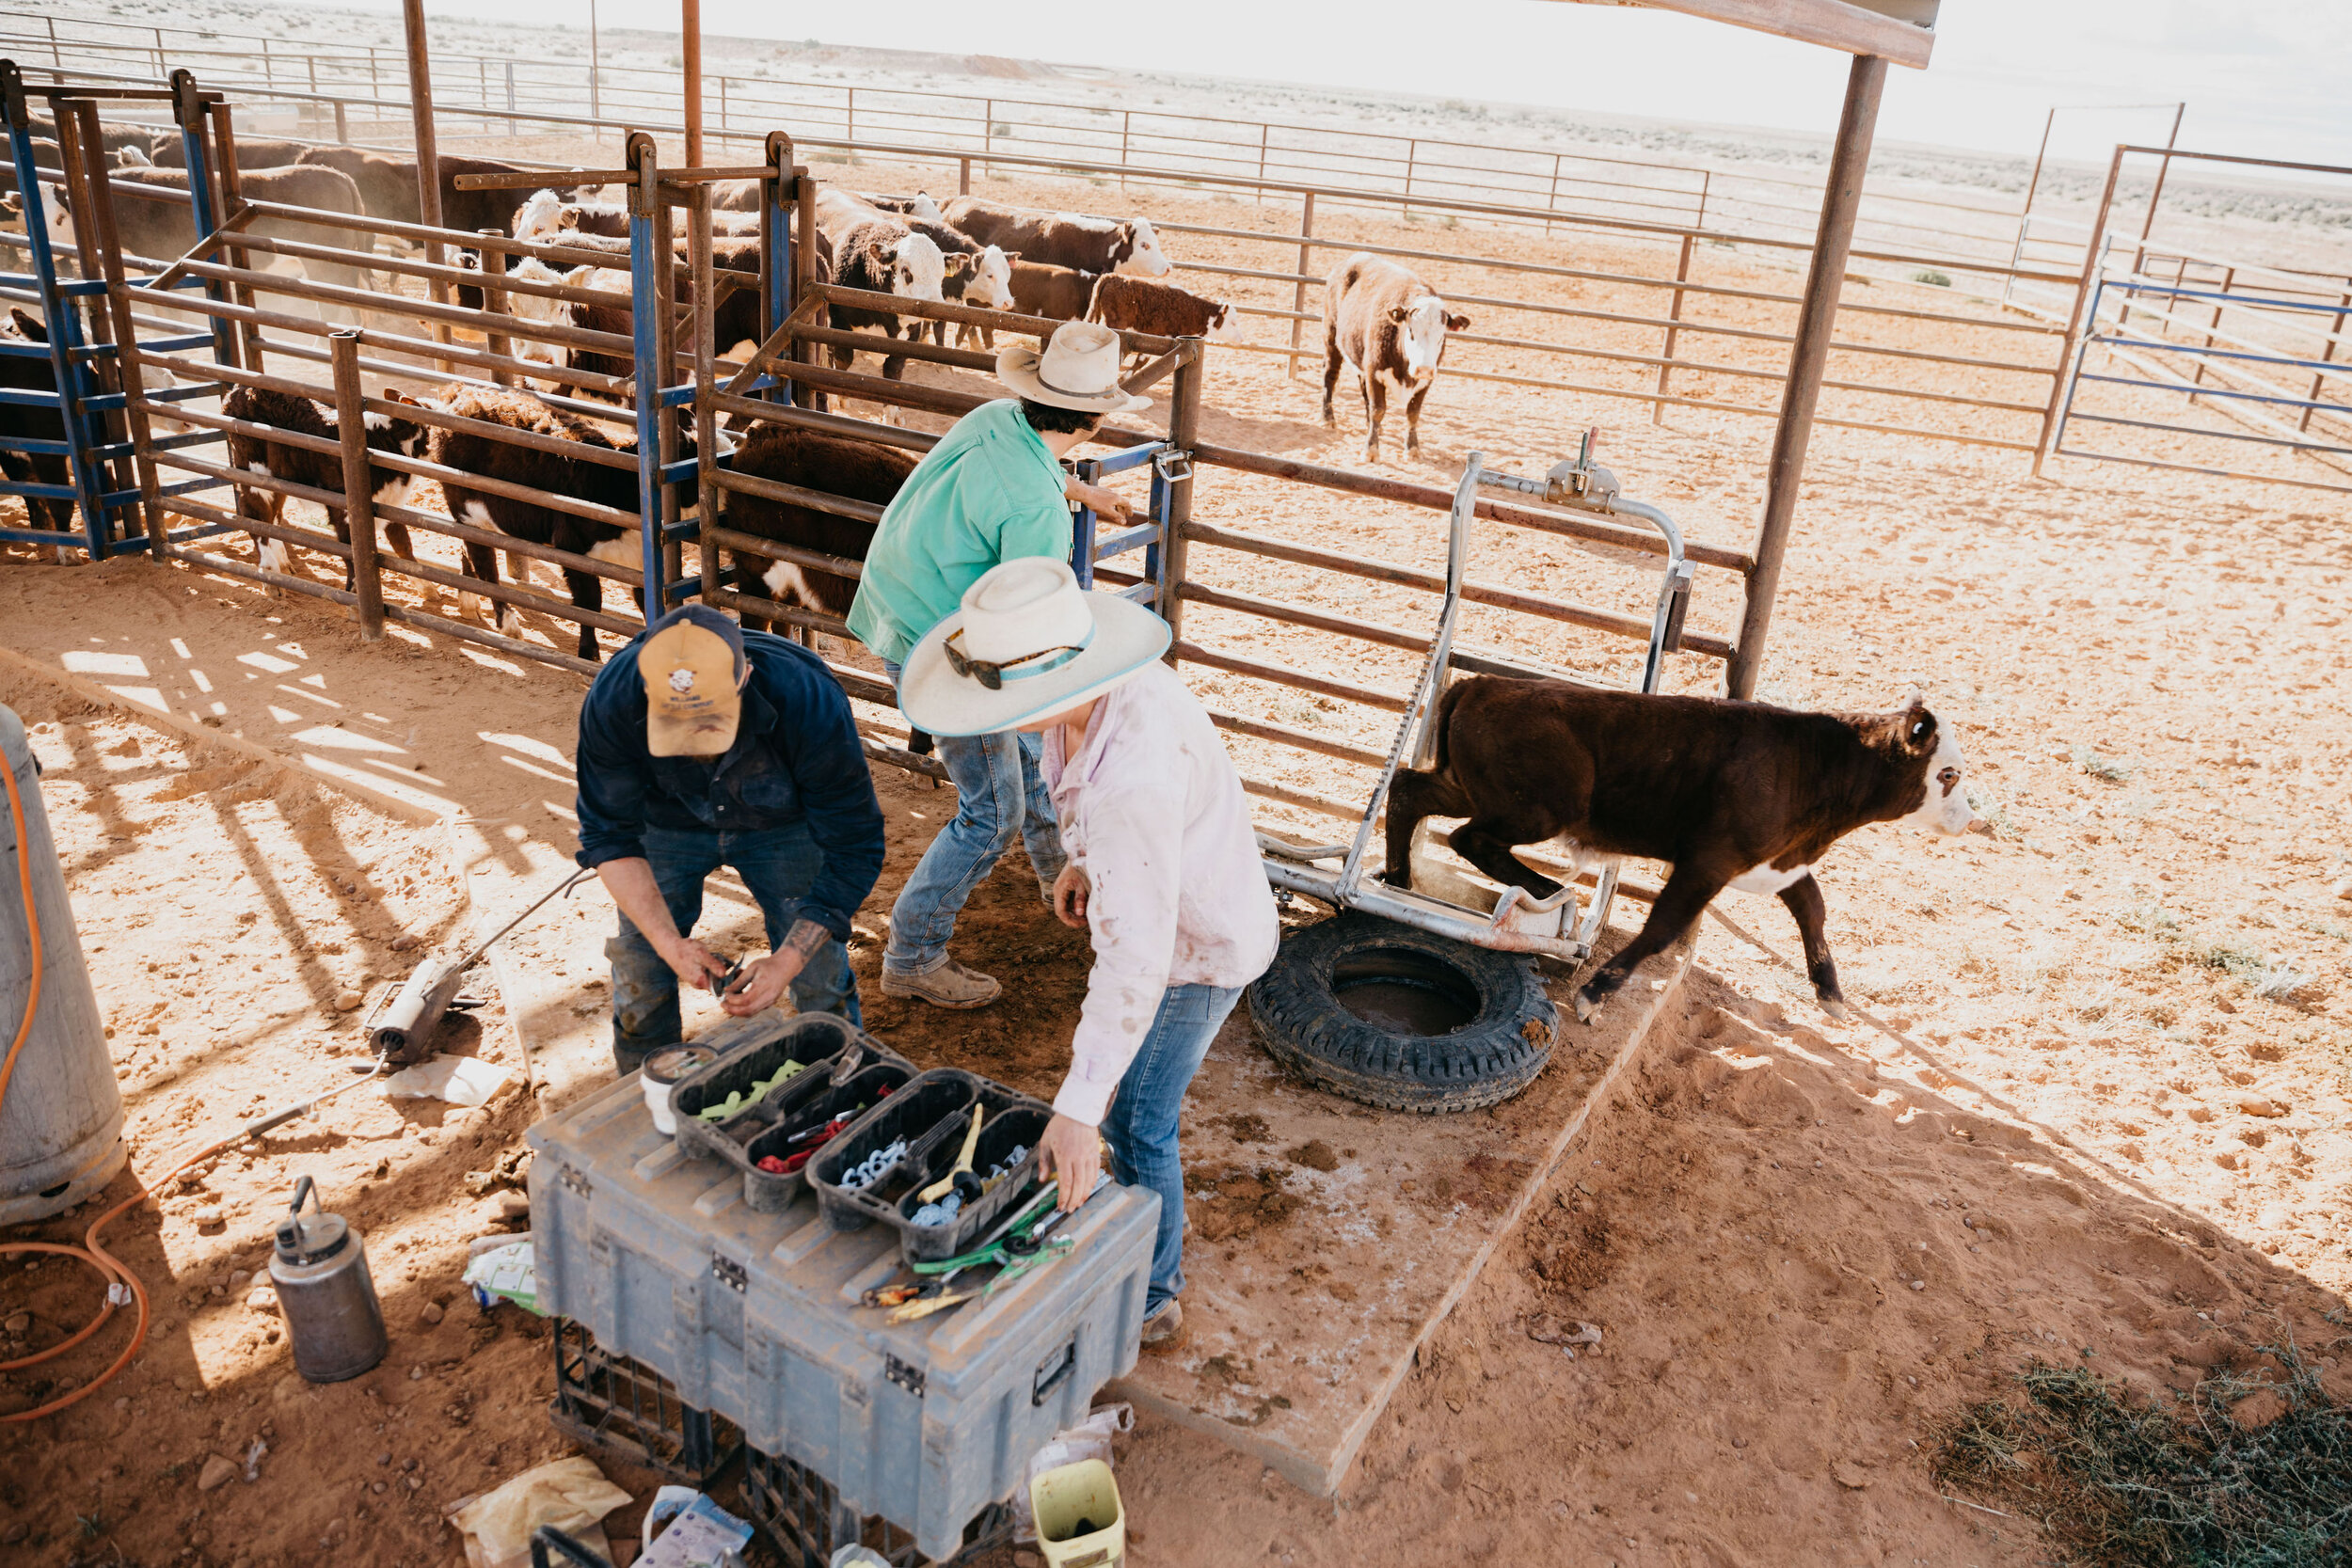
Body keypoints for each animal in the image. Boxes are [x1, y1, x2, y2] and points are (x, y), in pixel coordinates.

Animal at [1327, 255, 1468, 463]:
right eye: (1411, 331)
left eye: (1442, 336)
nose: (1424, 369)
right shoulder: (1374, 371)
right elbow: (1378, 409)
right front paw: (1371, 450)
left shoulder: (1425, 383)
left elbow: (1413, 413)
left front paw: (1413, 448)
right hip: (1331, 334)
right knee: (1330, 375)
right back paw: (1328, 418)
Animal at [1383, 681, 1976, 1024]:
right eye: (1947, 773)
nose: (1970, 820)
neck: (1811, 765)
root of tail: (1484, 683)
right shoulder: (1707, 864)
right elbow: (1663, 928)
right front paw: (1594, 994)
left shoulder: (1777, 863)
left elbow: (1813, 908)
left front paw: (1830, 992)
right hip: (1537, 809)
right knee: (1470, 839)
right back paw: (1548, 891)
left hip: (1469, 787)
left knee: (1410, 792)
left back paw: (1398, 877)